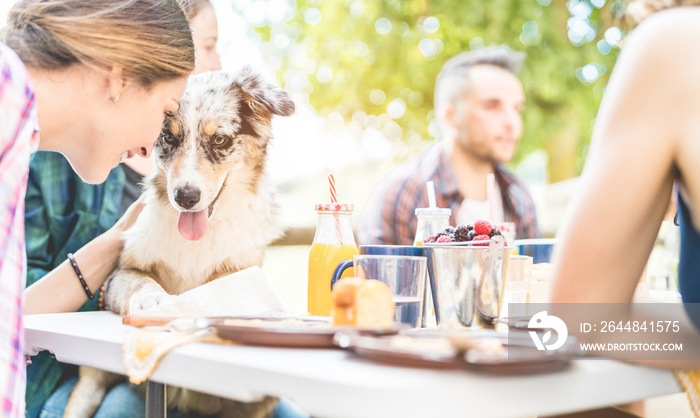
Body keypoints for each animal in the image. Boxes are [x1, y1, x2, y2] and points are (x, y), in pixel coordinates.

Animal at [63, 69, 296, 418]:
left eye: (219, 140)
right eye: (168, 138)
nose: (186, 197)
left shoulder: (241, 267)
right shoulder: (123, 269)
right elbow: (139, 282)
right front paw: (153, 300)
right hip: (91, 382)